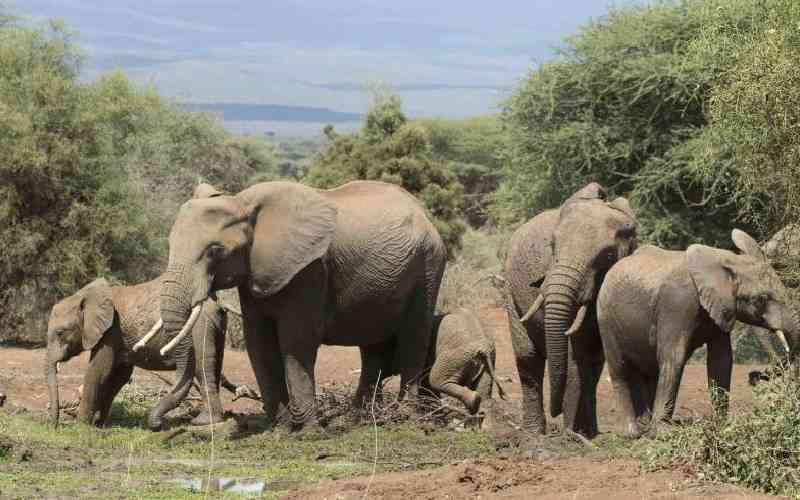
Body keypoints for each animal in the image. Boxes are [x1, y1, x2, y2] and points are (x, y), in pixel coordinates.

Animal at [46, 276, 245, 430]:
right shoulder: (119, 338)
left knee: (202, 367)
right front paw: (98, 424)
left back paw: (203, 422)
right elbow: (118, 376)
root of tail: (216, 302)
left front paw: (81, 426)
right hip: (215, 326)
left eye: (60, 333)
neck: (85, 296)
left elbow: (98, 371)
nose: (53, 426)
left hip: (199, 326)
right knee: (215, 364)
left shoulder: (110, 332)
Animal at [155, 180, 446, 431]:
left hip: (429, 265)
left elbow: (296, 341)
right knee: (371, 347)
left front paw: (306, 431)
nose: (156, 424)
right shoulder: (256, 271)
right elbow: (258, 341)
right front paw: (279, 427)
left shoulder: (310, 269)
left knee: (414, 336)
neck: (242, 202)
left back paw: (405, 417)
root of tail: (423, 213)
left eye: (215, 251)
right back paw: (360, 417)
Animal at [502, 183, 636, 437]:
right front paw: (572, 435)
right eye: (552, 247)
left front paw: (583, 434)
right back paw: (534, 433)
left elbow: (584, 360)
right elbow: (574, 358)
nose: (555, 412)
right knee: (527, 356)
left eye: (608, 256)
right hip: (509, 290)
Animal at [597, 229, 799, 437]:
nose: (753, 378)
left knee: (650, 369)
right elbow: (674, 357)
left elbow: (721, 360)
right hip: (605, 318)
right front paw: (663, 432)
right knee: (620, 369)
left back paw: (645, 426)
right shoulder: (677, 304)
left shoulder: (720, 308)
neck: (726, 260)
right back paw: (632, 432)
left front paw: (722, 426)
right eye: (760, 299)